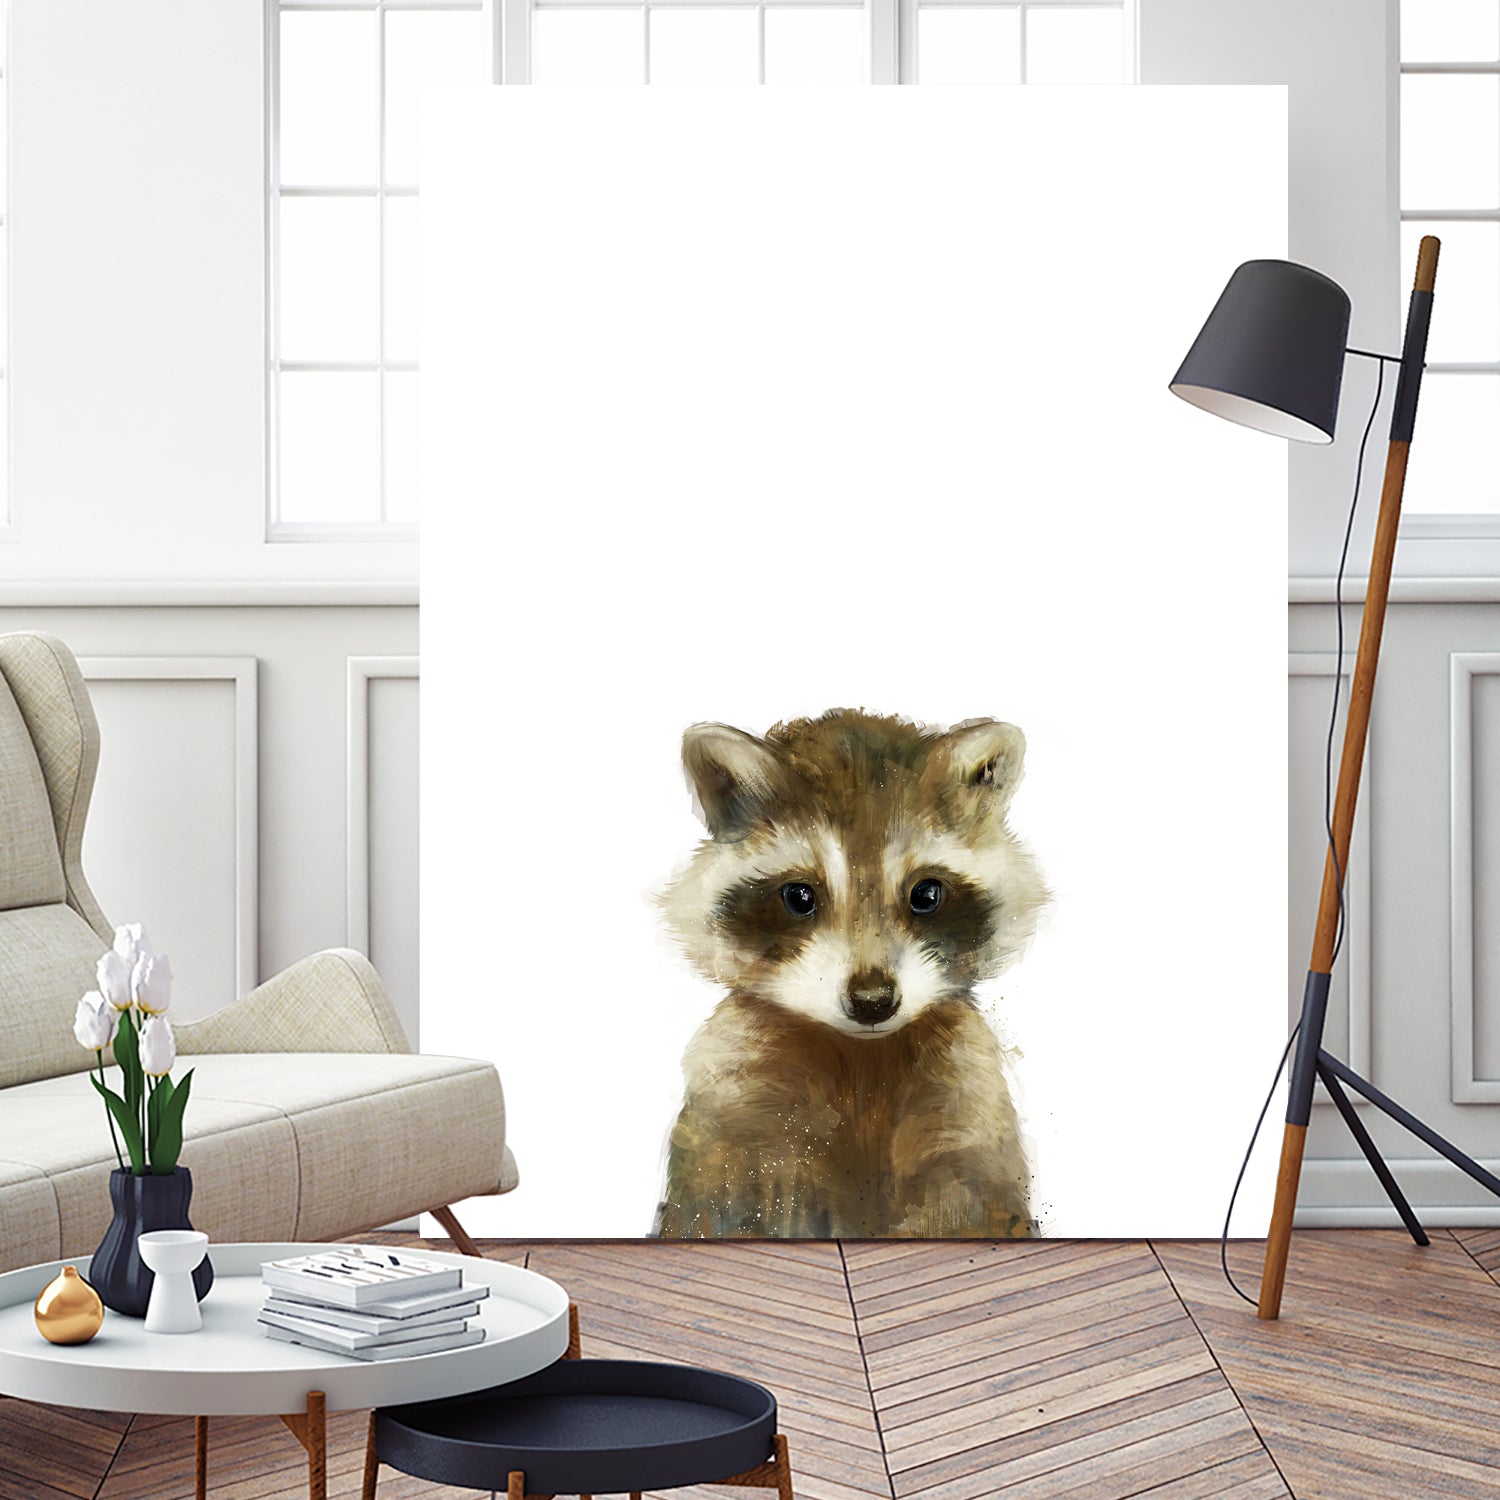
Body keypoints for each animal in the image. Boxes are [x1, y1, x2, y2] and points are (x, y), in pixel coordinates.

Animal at [652, 709, 1048, 1239]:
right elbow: (723, 1208)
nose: (873, 1000)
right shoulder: (734, 1107)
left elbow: (971, 1205)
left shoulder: (968, 1102)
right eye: (800, 896)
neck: (863, 1058)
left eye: (926, 894)